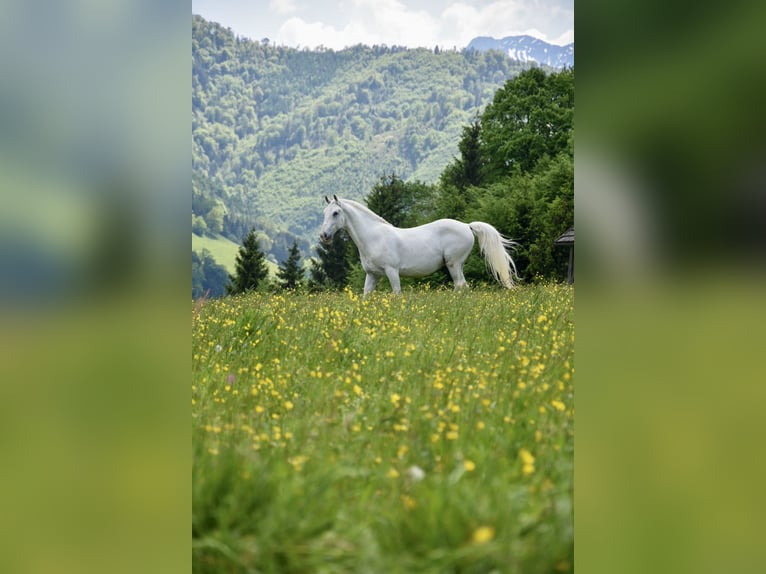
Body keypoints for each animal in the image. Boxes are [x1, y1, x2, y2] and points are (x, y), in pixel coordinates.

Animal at [320, 196, 520, 294]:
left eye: (336, 213)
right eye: (324, 212)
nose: (324, 236)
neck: (374, 237)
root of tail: (467, 226)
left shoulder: (392, 272)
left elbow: (397, 293)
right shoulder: (372, 275)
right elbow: (365, 296)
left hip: (454, 264)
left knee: (460, 285)